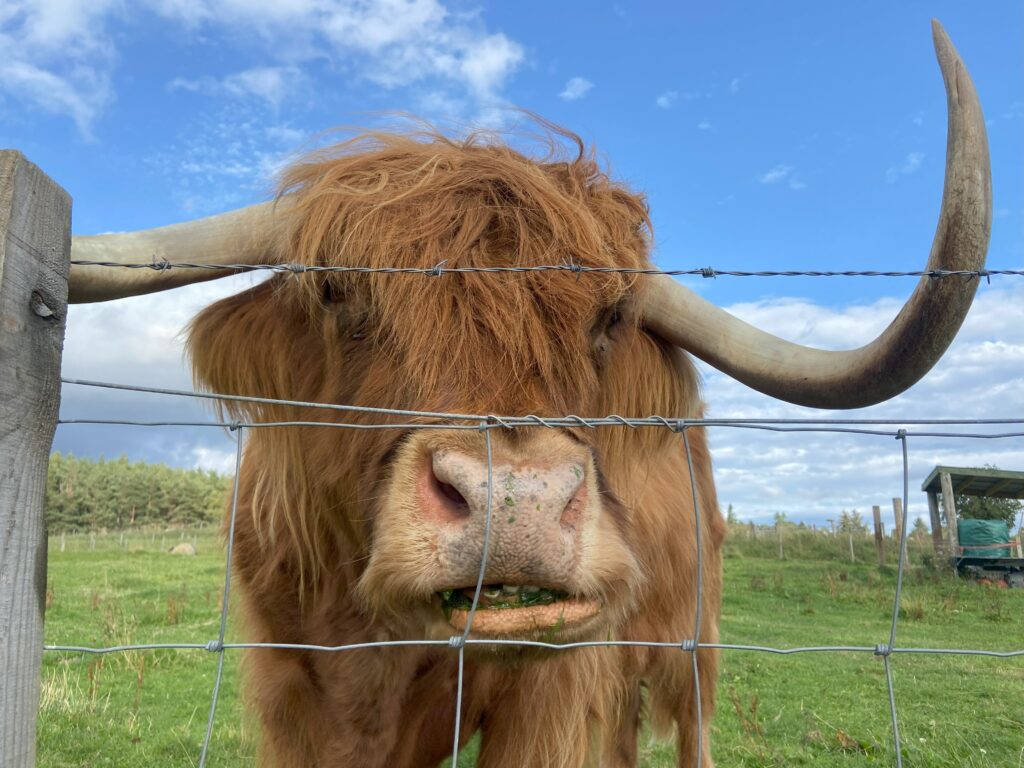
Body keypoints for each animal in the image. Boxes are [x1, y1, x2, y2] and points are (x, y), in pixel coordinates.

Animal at [67, 22, 989, 768]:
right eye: (335, 291)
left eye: (609, 318)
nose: (518, 502)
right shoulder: (294, 692)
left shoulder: (554, 693)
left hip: (691, 640)